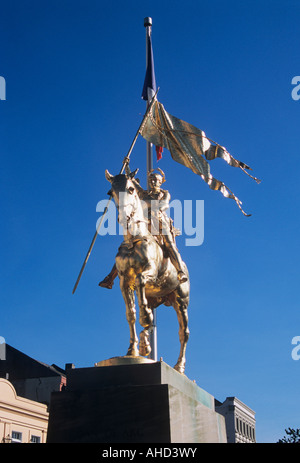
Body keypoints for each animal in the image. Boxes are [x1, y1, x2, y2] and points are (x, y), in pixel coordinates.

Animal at [105, 169, 190, 376]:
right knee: (151, 321)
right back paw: (145, 344)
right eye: (110, 192)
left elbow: (141, 279)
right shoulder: (124, 281)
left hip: (181, 300)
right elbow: (130, 313)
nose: (123, 217)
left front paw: (145, 318)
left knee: (183, 333)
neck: (133, 240)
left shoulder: (149, 271)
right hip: (155, 298)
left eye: (130, 189)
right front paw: (132, 350)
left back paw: (179, 367)